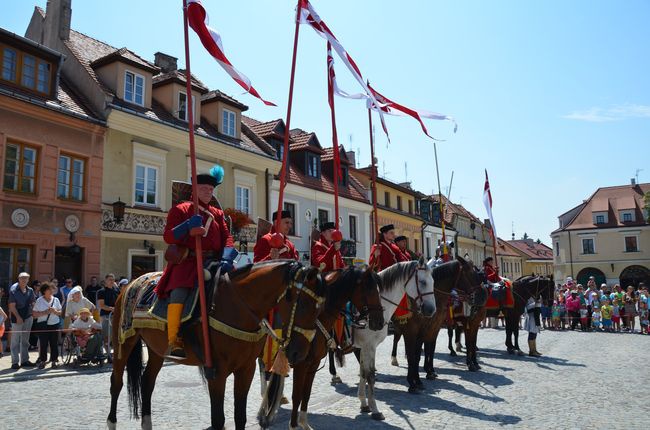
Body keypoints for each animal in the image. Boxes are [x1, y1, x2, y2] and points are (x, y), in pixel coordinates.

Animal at [109, 260, 330, 430]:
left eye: (320, 309)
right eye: (304, 305)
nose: (300, 352)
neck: (237, 306)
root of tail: (131, 283)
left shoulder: (246, 369)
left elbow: (240, 416)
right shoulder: (216, 372)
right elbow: (218, 419)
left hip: (156, 350)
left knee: (147, 382)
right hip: (123, 342)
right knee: (116, 382)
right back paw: (111, 422)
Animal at [286, 268, 382, 428]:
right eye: (370, 290)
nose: (379, 321)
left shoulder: (313, 364)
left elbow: (306, 394)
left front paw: (304, 424)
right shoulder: (301, 364)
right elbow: (297, 396)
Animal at [352, 255, 432, 420]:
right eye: (422, 282)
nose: (431, 309)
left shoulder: (366, 347)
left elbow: (364, 372)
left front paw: (364, 403)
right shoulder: (369, 346)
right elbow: (370, 375)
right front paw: (375, 409)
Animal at [388, 256, 484, 394]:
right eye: (469, 273)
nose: (481, 297)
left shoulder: (433, 327)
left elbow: (427, 350)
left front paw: (427, 373)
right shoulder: (414, 330)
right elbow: (417, 354)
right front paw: (415, 381)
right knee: (395, 339)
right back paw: (393, 359)